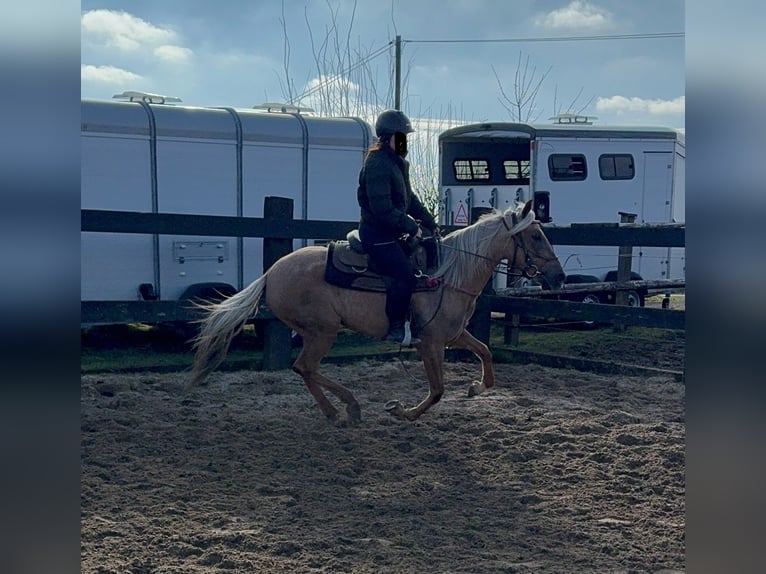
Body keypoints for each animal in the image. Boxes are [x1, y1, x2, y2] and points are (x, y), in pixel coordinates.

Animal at [189, 201, 568, 424]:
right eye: (536, 236)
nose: (559, 276)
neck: (448, 274)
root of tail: (271, 273)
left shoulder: (454, 334)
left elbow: (486, 352)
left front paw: (477, 387)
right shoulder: (429, 343)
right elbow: (437, 390)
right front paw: (404, 411)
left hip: (318, 332)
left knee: (305, 369)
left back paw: (337, 410)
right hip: (323, 331)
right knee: (305, 367)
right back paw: (347, 408)